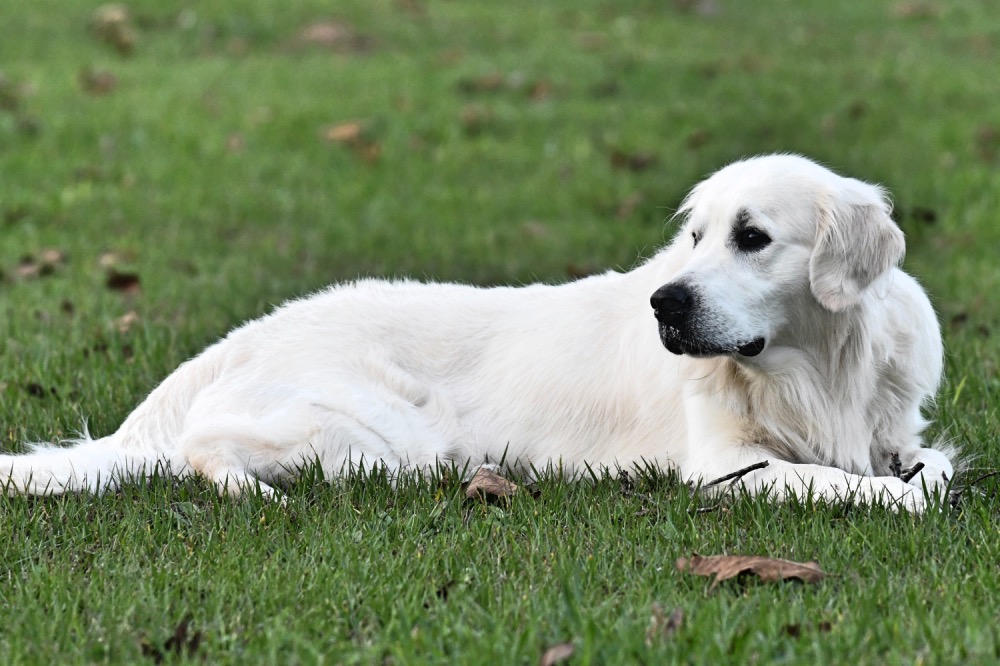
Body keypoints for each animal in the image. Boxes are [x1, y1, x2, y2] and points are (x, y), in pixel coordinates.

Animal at [1, 154, 952, 508]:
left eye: (752, 238)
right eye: (694, 237)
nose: (666, 306)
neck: (816, 367)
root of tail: (239, 337)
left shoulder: (899, 432)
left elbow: (923, 466)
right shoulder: (726, 464)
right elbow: (851, 484)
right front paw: (893, 498)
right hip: (386, 435)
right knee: (199, 447)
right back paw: (253, 493)